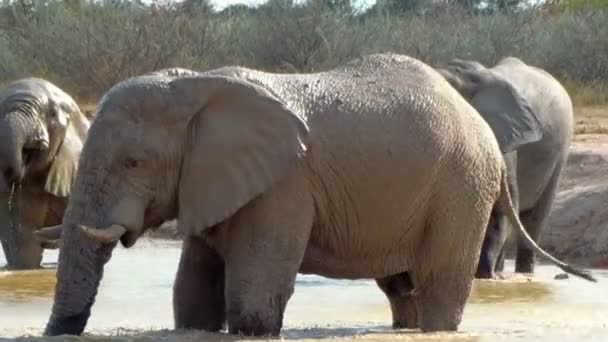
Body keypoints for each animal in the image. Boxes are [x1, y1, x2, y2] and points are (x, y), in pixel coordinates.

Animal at [436, 57, 576, 280]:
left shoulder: (504, 139)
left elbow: (501, 205)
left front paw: (483, 277)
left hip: (561, 152)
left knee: (533, 220)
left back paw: (522, 273)